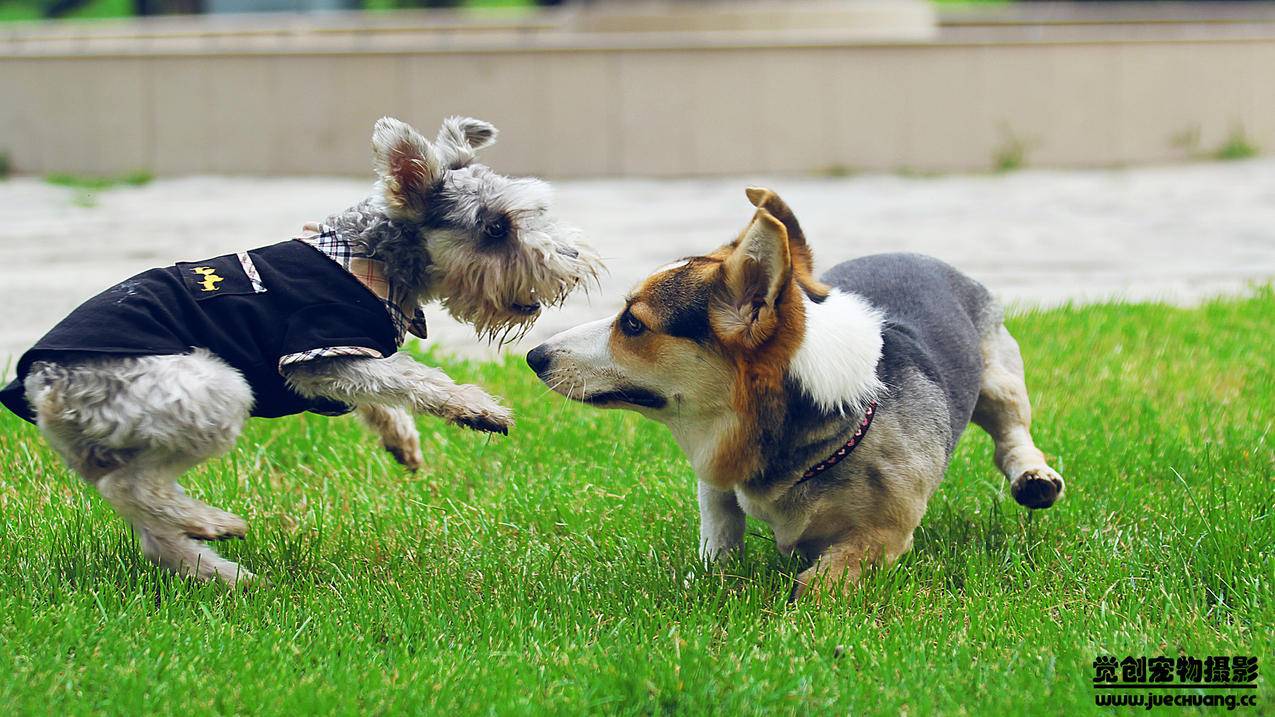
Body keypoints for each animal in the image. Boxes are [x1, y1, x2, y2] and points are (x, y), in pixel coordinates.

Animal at [1, 117, 601, 584]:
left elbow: (384, 391)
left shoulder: (345, 367)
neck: (370, 255)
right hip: (213, 392)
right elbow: (412, 375)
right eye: (496, 228)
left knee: (150, 529)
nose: (574, 263)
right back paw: (217, 526)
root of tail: (44, 382)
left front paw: (402, 442)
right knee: (131, 486)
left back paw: (222, 572)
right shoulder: (323, 356)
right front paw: (478, 408)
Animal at [522, 184, 1060, 597]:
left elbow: (825, 577)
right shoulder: (714, 473)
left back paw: (1034, 478)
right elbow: (719, 525)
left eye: (633, 324)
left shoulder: (884, 533)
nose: (534, 357)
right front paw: (716, 574)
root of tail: (920, 255)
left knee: (1012, 439)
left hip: (1000, 383)